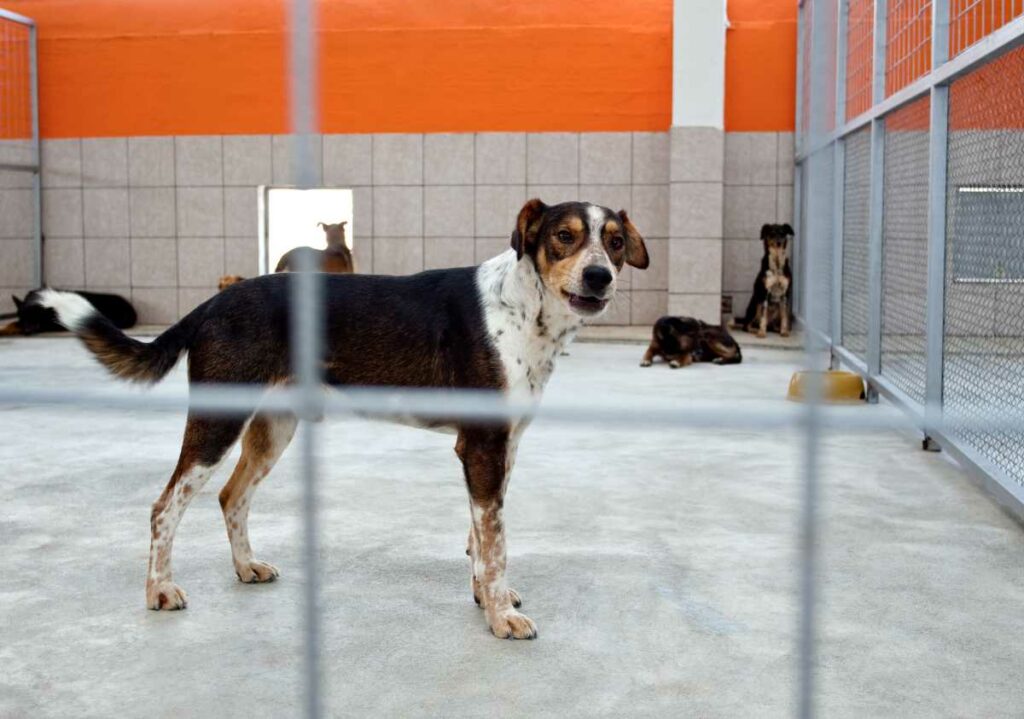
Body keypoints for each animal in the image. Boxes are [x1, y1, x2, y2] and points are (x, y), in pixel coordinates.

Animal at [0, 290, 136, 337]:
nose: (27, 332)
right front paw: (5, 328)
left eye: (35, 318)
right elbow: (15, 322)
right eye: (23, 317)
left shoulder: (50, 324)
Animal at [39, 198, 651, 643]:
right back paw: (160, 591)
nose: (599, 276)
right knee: (166, 506)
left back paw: (247, 567)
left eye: (615, 242)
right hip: (219, 422)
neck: (524, 307)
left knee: (231, 496)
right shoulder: (481, 447)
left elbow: (480, 537)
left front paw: (485, 596)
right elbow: (494, 542)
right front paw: (500, 617)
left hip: (274, 428)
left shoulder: (501, 447)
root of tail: (214, 301)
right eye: (563, 236)